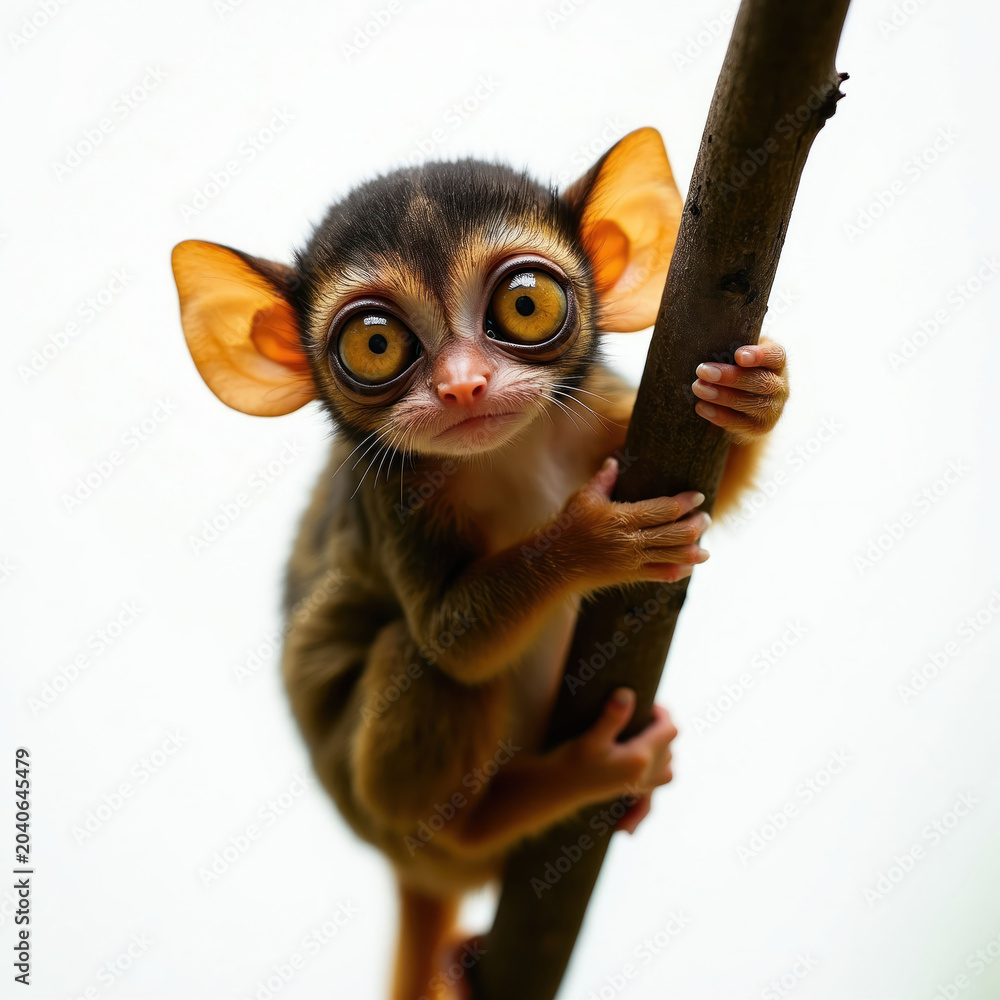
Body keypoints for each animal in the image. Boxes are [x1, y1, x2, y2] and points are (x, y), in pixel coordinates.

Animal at [171, 127, 788, 1000]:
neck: (506, 456)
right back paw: (543, 794)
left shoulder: (594, 412)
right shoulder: (394, 500)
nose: (463, 387)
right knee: (421, 661)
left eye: (525, 305)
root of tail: (412, 873)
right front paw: (590, 543)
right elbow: (450, 640)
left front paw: (755, 393)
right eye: (376, 343)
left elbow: (704, 485)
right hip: (398, 825)